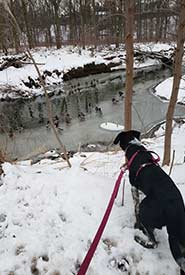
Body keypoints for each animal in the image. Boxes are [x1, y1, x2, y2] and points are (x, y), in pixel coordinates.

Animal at [113, 130, 185, 274]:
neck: (135, 147)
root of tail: (174, 208)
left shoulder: (134, 187)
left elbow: (135, 208)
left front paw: (137, 225)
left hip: (146, 209)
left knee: (154, 242)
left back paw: (140, 239)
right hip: (181, 234)